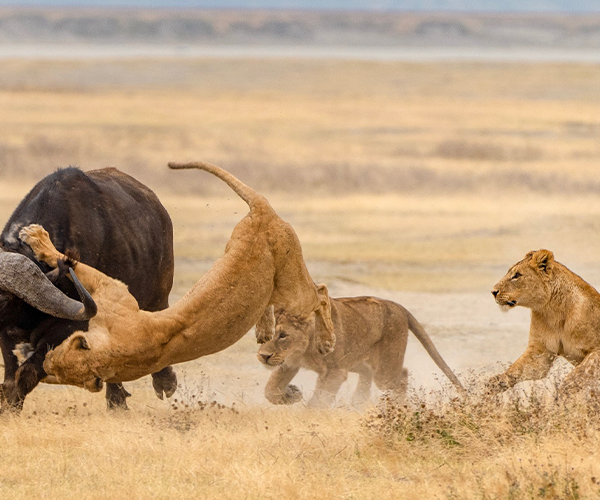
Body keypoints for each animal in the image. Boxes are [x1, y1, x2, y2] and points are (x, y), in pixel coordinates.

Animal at [0, 168, 177, 410]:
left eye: (3, 298)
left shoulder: (68, 328)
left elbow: (25, 374)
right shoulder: (7, 334)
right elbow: (10, 378)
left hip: (159, 295)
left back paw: (158, 384)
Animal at [16, 162, 332, 392]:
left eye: (55, 362)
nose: (43, 361)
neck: (118, 352)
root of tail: (262, 208)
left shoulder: (115, 293)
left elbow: (74, 263)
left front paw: (36, 236)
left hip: (293, 289)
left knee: (320, 292)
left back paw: (327, 341)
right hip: (246, 255)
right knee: (274, 298)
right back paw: (264, 330)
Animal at [258, 288, 464, 408]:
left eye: (283, 335)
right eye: (264, 335)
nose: (263, 356)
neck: (303, 349)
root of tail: (398, 306)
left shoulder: (335, 371)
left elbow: (319, 400)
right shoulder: (288, 363)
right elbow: (270, 390)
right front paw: (292, 394)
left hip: (384, 371)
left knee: (402, 376)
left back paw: (397, 407)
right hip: (358, 361)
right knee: (367, 375)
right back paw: (358, 402)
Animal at [490, 250, 600, 394]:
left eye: (517, 275)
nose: (493, 292)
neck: (552, 310)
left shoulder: (596, 351)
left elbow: (579, 372)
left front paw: (563, 392)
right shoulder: (541, 350)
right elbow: (517, 369)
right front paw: (496, 383)